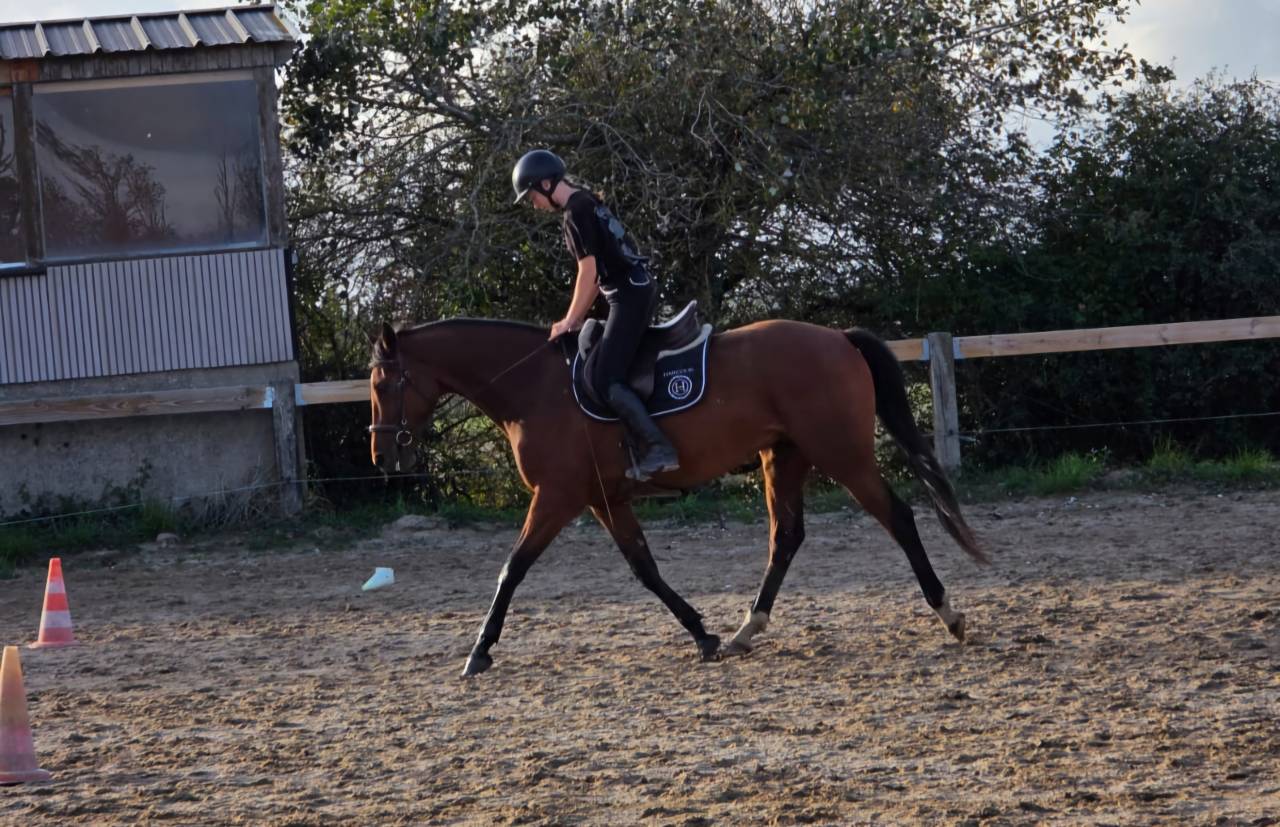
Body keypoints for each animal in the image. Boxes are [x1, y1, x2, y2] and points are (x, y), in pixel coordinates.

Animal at [367, 317, 987, 676]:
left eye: (381, 383)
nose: (382, 458)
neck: (535, 388)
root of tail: (837, 337)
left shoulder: (557, 497)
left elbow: (512, 568)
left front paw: (479, 651)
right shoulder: (604, 500)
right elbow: (645, 569)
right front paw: (703, 633)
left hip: (841, 453)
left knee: (898, 518)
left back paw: (948, 613)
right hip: (784, 457)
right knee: (786, 537)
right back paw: (744, 630)